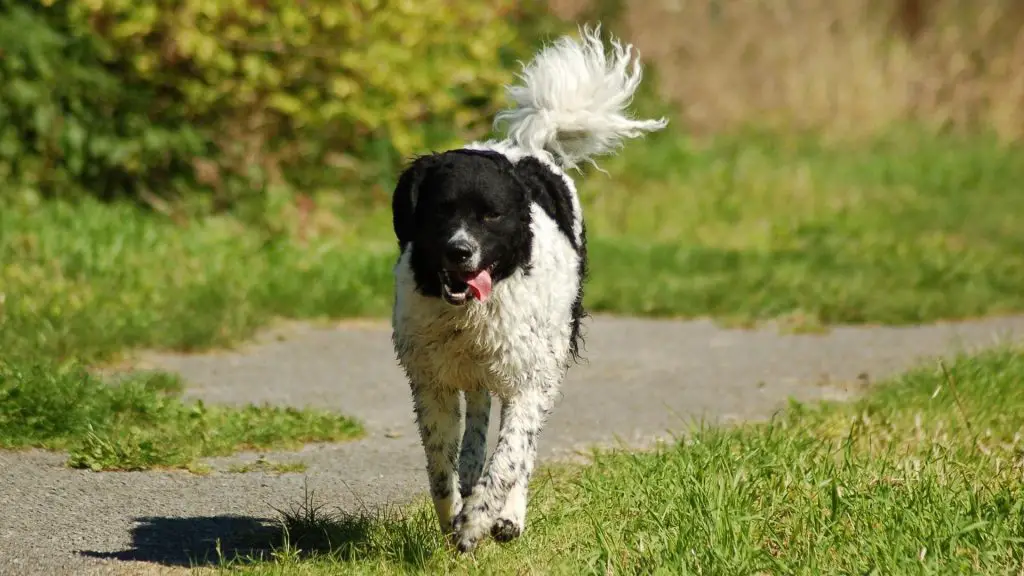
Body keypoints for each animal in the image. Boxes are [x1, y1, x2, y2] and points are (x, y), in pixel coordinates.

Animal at [387, 26, 667, 553]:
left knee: (521, 449)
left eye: (491, 215)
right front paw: (454, 513)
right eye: (440, 210)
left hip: (546, 359)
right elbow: (441, 466)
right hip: (479, 375)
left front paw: (479, 519)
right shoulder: (431, 379)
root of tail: (528, 147)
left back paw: (507, 516)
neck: (471, 314)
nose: (459, 252)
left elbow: (510, 457)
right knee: (477, 428)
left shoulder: (529, 378)